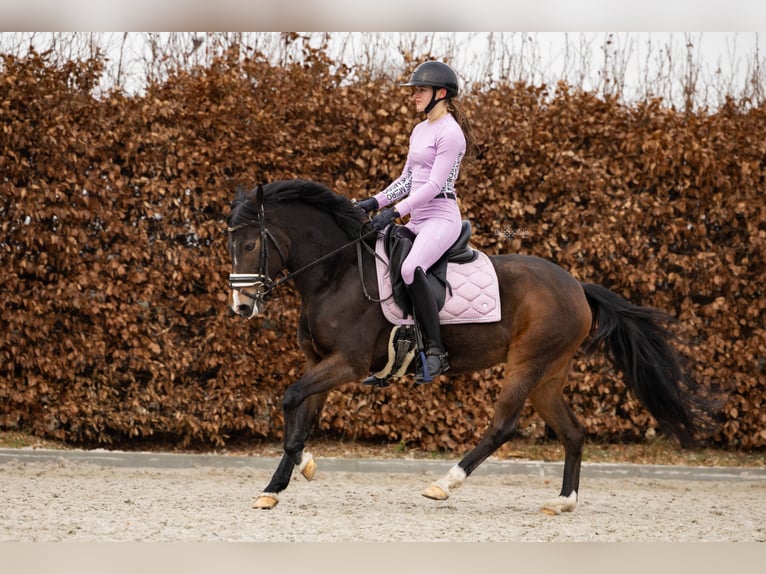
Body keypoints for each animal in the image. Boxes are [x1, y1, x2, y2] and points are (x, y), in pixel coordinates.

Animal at [226, 179, 718, 513]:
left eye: (249, 244)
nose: (241, 306)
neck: (339, 272)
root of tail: (577, 285)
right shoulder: (320, 362)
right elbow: (300, 416)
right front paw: (277, 486)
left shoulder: (346, 362)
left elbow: (291, 399)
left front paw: (299, 469)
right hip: (549, 375)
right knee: (574, 432)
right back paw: (563, 501)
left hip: (526, 364)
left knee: (502, 426)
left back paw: (445, 483)